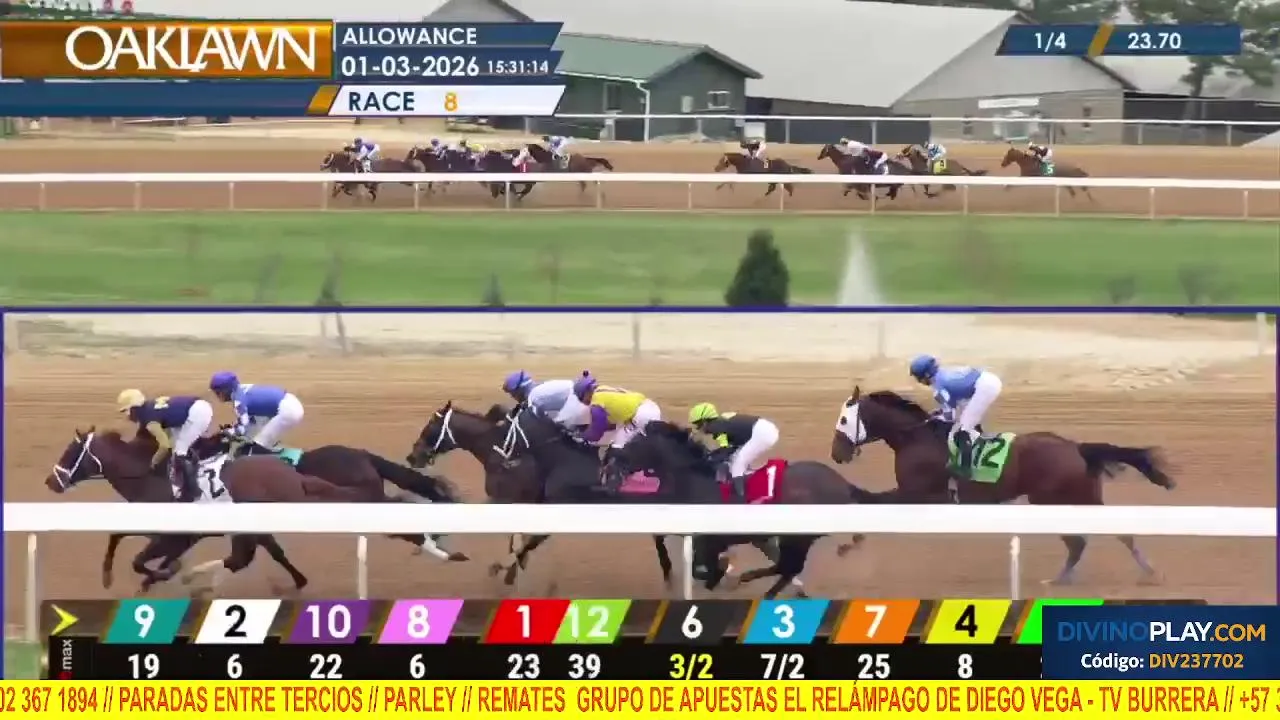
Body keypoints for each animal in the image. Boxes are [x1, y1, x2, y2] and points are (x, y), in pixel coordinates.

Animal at [45, 427, 309, 594]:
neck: (150, 479)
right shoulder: (161, 533)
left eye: (71, 454)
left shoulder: (173, 538)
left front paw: (163, 574)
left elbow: (140, 562)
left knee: (242, 558)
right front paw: (108, 578)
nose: (50, 482)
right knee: (270, 553)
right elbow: (116, 535)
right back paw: (298, 581)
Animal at [615, 421, 870, 598]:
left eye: (633, 443)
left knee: (789, 567)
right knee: (786, 567)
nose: (614, 461)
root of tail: (844, 485)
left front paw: (719, 573)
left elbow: (703, 568)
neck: (697, 481)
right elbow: (662, 540)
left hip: (799, 538)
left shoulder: (710, 540)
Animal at [829, 386, 1176, 585]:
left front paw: (848, 545)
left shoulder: (918, 494)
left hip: (1051, 500)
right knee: (1110, 534)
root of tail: (1075, 447)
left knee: (1080, 542)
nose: (837, 453)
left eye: (844, 420)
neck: (915, 438)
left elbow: (874, 502)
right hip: (1080, 497)